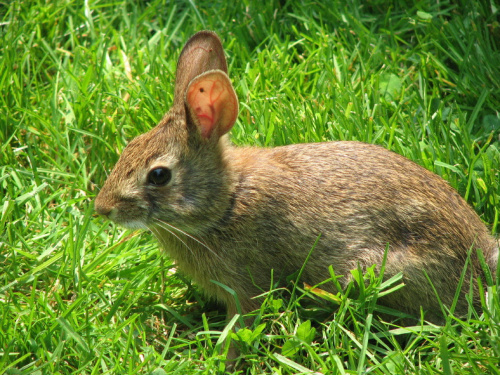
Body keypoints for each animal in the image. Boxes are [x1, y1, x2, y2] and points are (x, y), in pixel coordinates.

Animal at [94, 30, 496, 328]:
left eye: (159, 176)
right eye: (130, 145)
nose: (102, 208)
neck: (227, 202)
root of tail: (482, 256)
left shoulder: (246, 287)